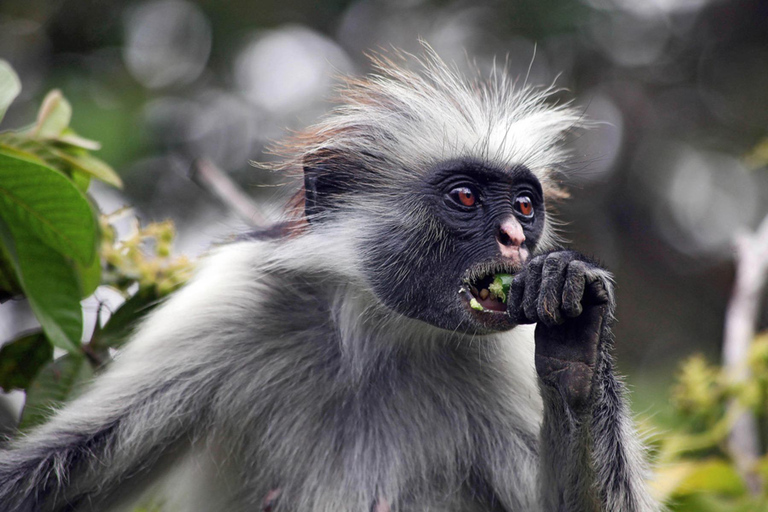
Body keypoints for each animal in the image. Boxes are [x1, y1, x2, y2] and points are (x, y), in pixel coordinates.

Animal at [0, 49, 660, 512]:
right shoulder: (233, 302)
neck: (377, 332)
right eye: (466, 198)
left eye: (525, 206)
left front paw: (578, 343)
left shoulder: (502, 355)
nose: (515, 239)